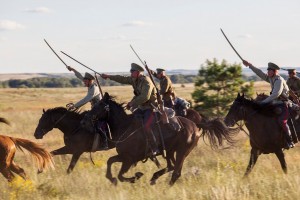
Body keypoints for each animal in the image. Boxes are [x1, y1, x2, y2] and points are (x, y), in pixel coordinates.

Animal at [80, 93, 237, 185]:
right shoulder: (124, 156)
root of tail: (195, 125)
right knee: (171, 167)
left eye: (100, 105)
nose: (84, 120)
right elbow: (110, 162)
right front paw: (112, 178)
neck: (125, 126)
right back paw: (154, 178)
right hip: (171, 151)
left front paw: (136, 176)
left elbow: (121, 175)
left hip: (181, 152)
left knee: (176, 172)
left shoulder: (129, 159)